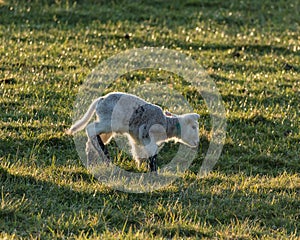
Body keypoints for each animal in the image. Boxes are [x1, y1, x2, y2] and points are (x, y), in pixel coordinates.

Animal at [67, 91, 200, 172]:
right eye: (193, 127)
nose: (197, 142)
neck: (166, 123)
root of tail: (101, 99)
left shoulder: (137, 138)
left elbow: (138, 153)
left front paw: (139, 166)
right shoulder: (149, 139)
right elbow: (152, 156)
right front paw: (154, 173)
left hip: (107, 127)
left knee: (92, 139)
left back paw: (92, 162)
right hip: (109, 123)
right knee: (90, 129)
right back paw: (105, 157)